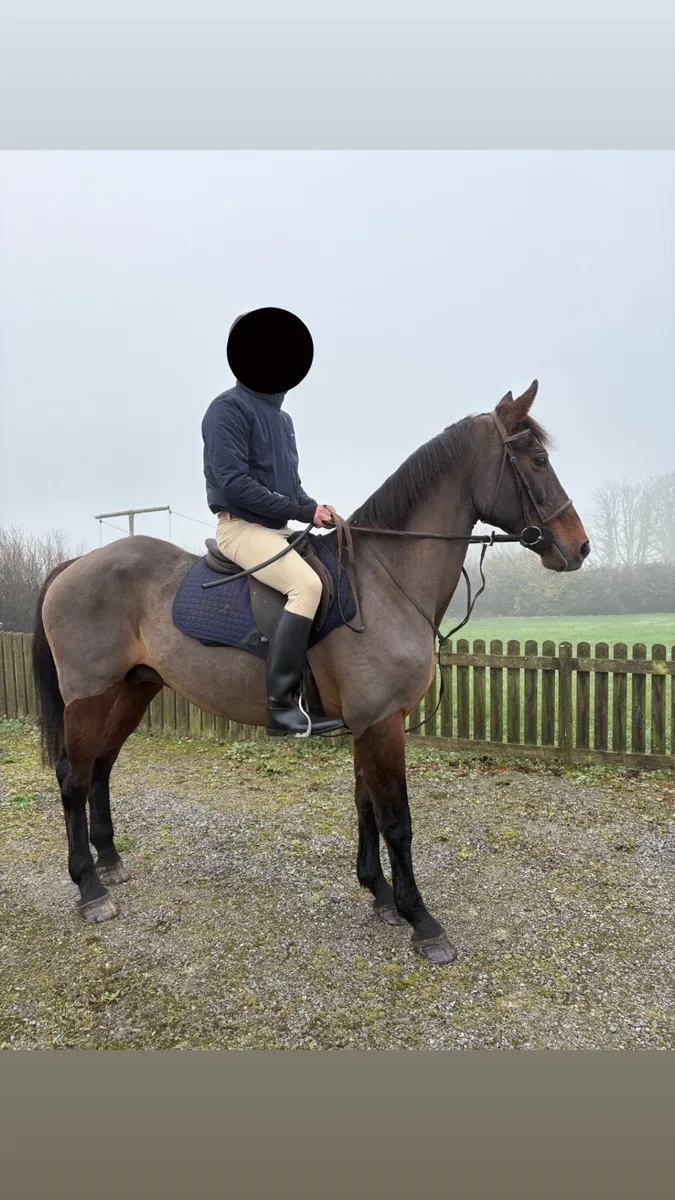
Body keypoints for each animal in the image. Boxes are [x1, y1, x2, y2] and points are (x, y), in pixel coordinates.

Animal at [32, 381, 589, 964]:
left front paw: (379, 893)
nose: (580, 546)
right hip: (89, 697)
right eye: (538, 458)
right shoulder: (381, 721)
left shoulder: (371, 722)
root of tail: (75, 565)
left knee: (101, 767)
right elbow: (397, 819)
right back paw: (90, 888)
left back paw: (110, 862)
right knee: (74, 777)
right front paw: (421, 920)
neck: (383, 580)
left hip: (132, 690)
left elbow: (366, 804)